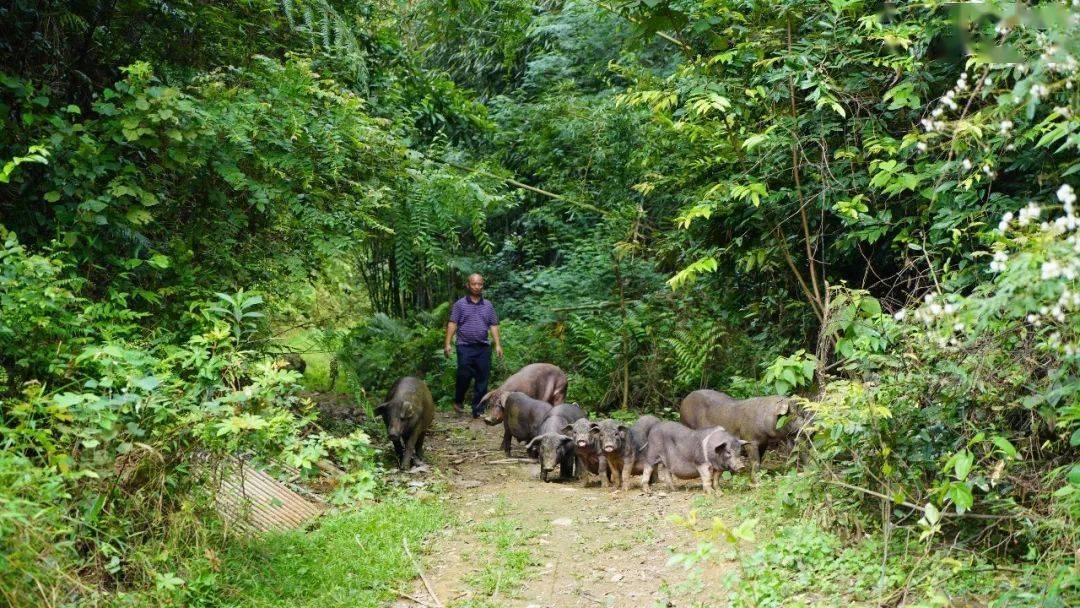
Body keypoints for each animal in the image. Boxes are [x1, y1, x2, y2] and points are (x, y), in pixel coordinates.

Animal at [678, 393, 807, 483]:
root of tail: (684, 400)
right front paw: (757, 481)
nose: (805, 425)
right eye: (791, 415)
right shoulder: (750, 439)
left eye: (801, 413)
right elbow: (755, 461)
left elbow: (760, 458)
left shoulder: (764, 442)